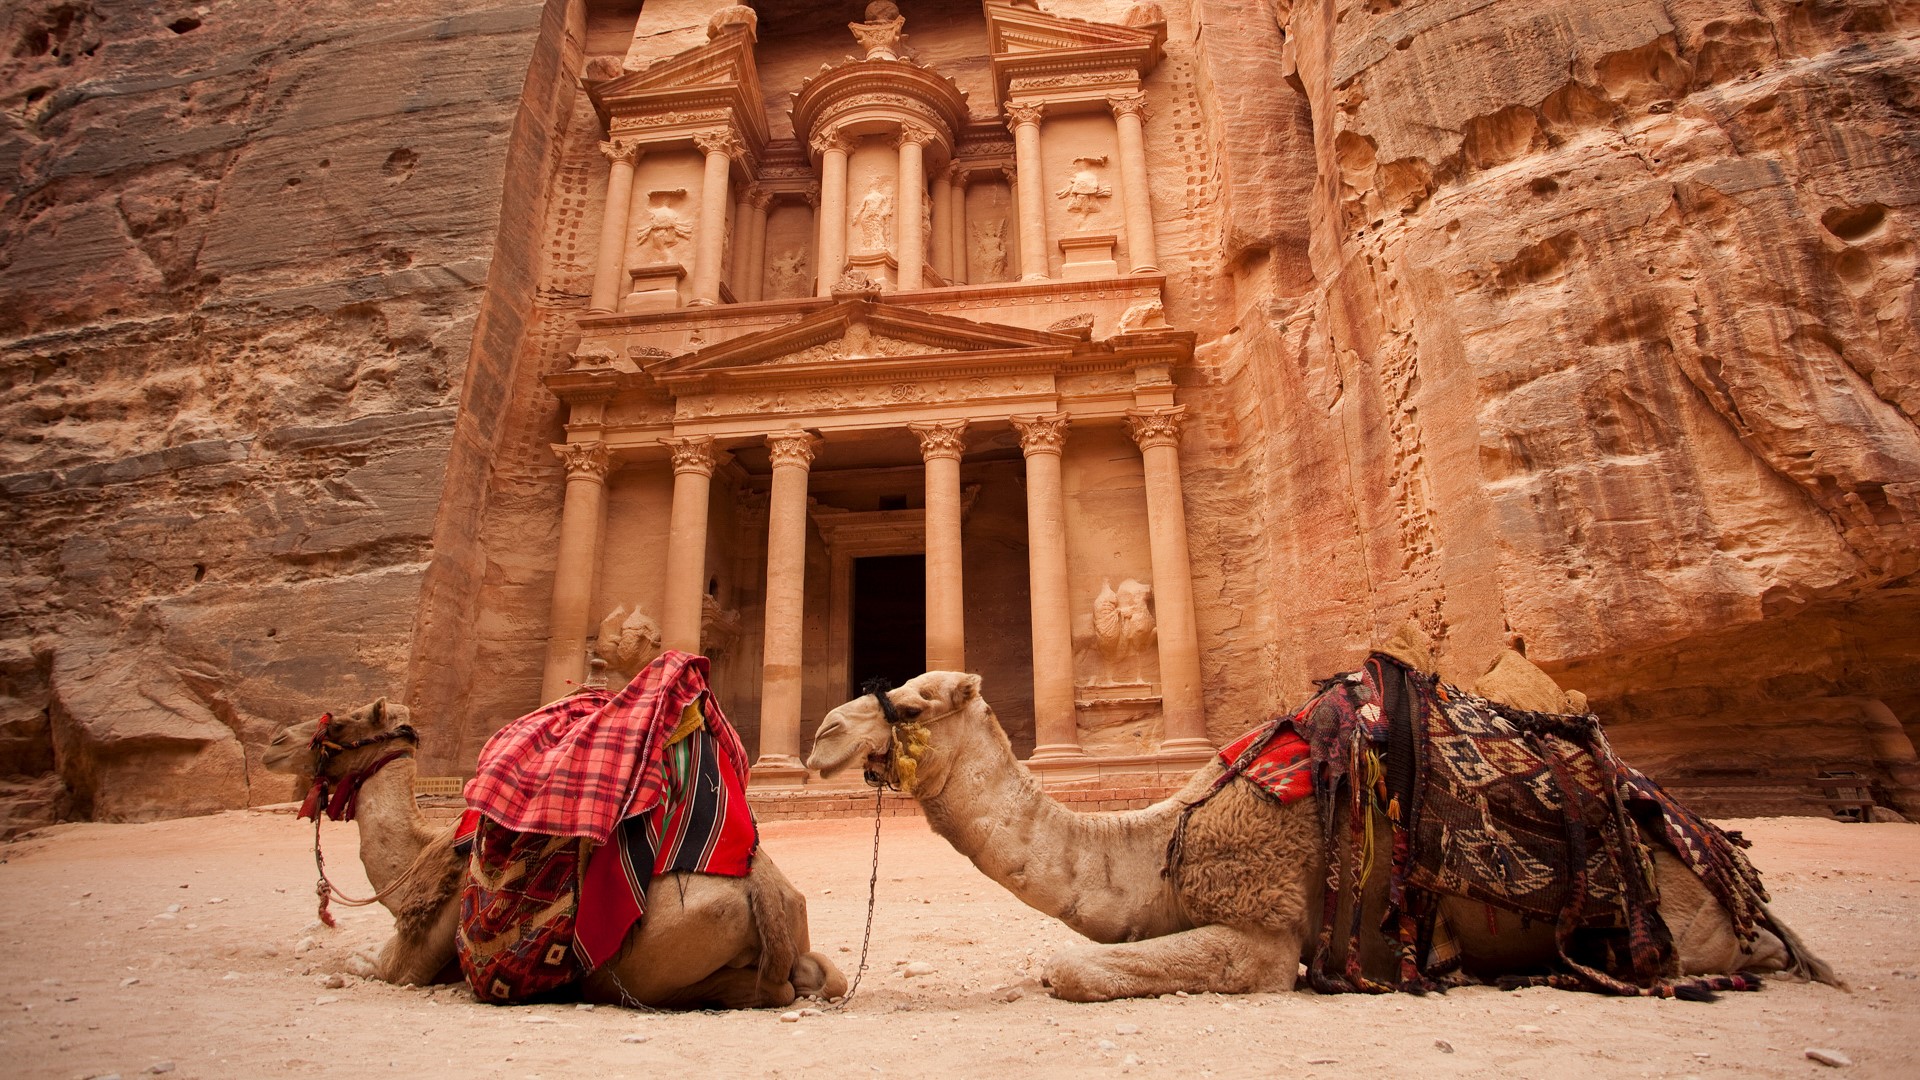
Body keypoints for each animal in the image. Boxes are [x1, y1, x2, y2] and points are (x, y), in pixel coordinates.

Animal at [266, 691, 844, 1006]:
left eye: (342, 720)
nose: (274, 743)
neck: (419, 860)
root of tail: (763, 890)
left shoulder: (408, 961)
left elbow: (361, 964)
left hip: (638, 967)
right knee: (818, 978)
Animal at [802, 668, 1835, 999]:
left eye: (912, 703)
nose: (819, 737)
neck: (1161, 844)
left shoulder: (1261, 933)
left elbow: (1069, 966)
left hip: (1683, 924)